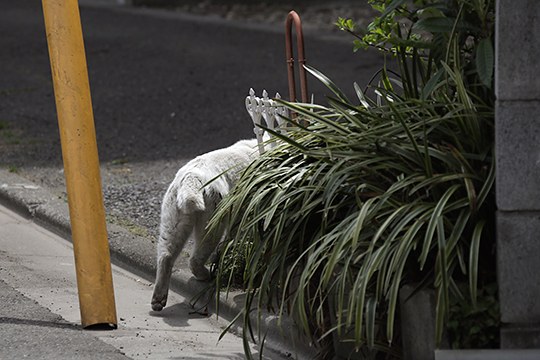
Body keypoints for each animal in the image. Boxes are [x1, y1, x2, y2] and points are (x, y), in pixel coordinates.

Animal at [151, 139, 258, 310]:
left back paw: (158, 300)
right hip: (213, 215)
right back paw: (207, 274)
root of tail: (191, 177)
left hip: (173, 216)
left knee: (166, 253)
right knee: (198, 254)